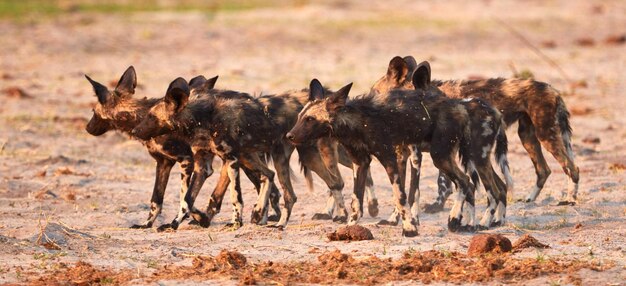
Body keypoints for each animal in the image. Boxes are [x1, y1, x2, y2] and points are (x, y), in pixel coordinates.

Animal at [84, 67, 280, 230]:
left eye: (93, 112)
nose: (87, 128)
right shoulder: (164, 163)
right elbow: (157, 200)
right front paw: (146, 224)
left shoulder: (187, 161)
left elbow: (185, 198)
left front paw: (188, 219)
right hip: (242, 160)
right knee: (267, 185)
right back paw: (261, 218)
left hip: (240, 160)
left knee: (266, 185)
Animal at [288, 73, 482, 235]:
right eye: (299, 117)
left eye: (310, 119)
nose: (289, 136)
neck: (357, 123)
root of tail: (459, 105)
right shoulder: (360, 163)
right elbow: (356, 201)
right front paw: (350, 228)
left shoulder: (389, 159)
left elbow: (400, 197)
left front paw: (409, 229)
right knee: (469, 184)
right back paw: (468, 225)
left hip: (439, 156)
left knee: (464, 181)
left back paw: (454, 219)